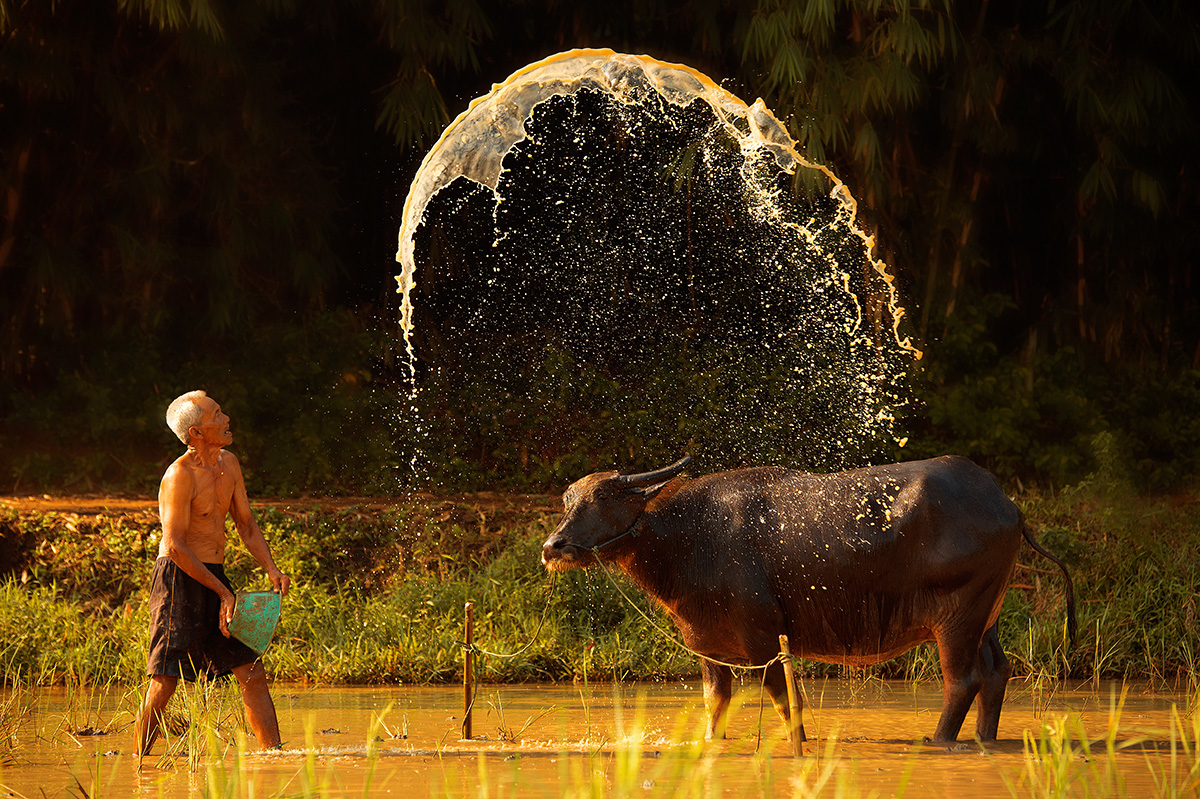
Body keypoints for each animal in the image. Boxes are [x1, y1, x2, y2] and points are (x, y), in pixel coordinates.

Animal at [540, 453, 1075, 739]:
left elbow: (785, 704)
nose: (553, 547)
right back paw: (984, 739)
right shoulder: (707, 648)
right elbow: (716, 704)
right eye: (568, 501)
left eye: (604, 497)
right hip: (989, 615)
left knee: (963, 680)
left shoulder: (765, 640)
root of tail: (1007, 504)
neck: (687, 537)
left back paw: (938, 740)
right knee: (997, 672)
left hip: (958, 617)